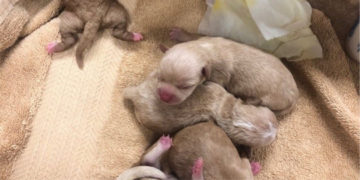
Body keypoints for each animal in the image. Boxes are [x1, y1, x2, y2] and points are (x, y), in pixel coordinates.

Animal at [158, 28, 298, 115]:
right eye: (160, 77)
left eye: (186, 86)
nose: (164, 96)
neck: (206, 50)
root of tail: (295, 97)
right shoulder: (206, 38)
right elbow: (195, 36)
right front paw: (179, 34)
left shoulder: (219, 74)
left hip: (271, 99)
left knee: (259, 102)